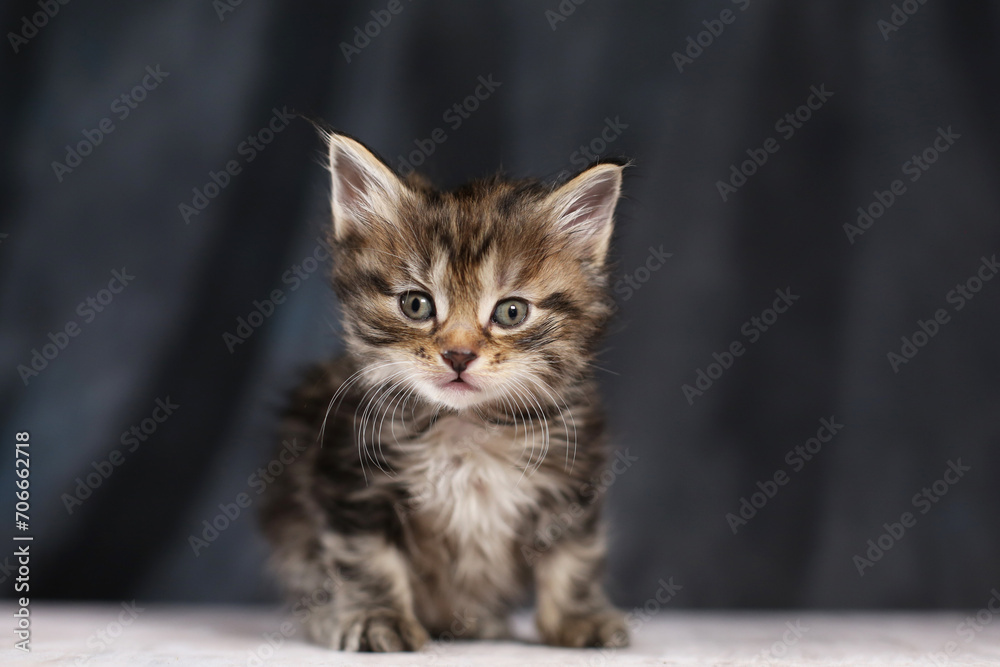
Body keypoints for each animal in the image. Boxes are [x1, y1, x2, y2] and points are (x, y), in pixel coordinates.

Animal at [260, 130, 632, 652]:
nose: (458, 355)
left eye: (511, 312)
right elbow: (367, 562)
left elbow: (574, 557)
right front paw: (378, 620)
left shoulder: (571, 479)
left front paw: (579, 618)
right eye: (416, 305)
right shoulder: (352, 480)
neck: (465, 428)